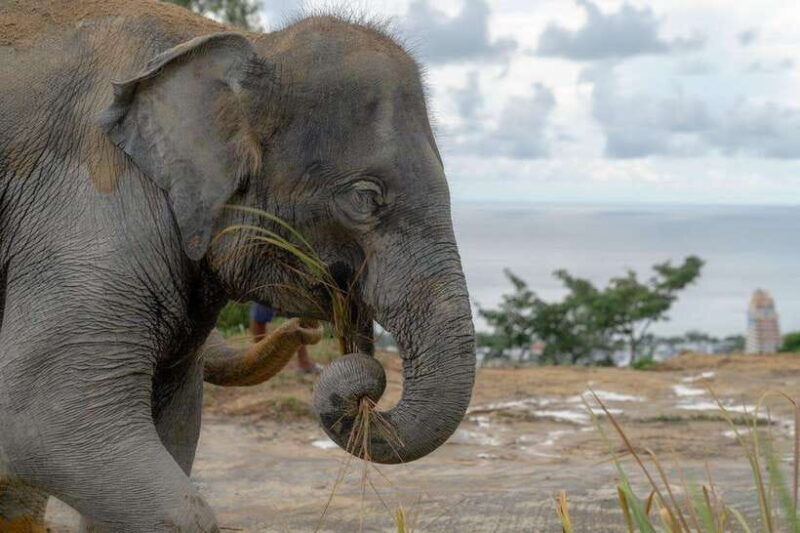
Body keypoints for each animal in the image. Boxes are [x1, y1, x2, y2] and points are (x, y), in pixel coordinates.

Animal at [0, 1, 476, 532]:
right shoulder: (90, 205)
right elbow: (43, 422)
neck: (246, 45)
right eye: (365, 198)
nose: (313, 330)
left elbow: (176, 425)